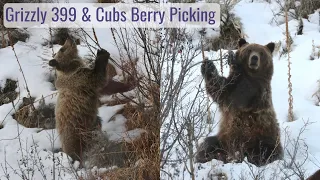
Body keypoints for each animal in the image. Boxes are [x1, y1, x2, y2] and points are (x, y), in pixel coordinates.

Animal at [196, 38, 284, 167]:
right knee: (209, 143)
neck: (251, 75)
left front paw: (233, 61)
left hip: (261, 137)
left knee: (265, 151)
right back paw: (204, 157)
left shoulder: (256, 92)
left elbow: (241, 94)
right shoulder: (227, 93)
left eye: (261, 53)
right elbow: (219, 89)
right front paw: (209, 65)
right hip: (224, 140)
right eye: (249, 50)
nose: (254, 58)